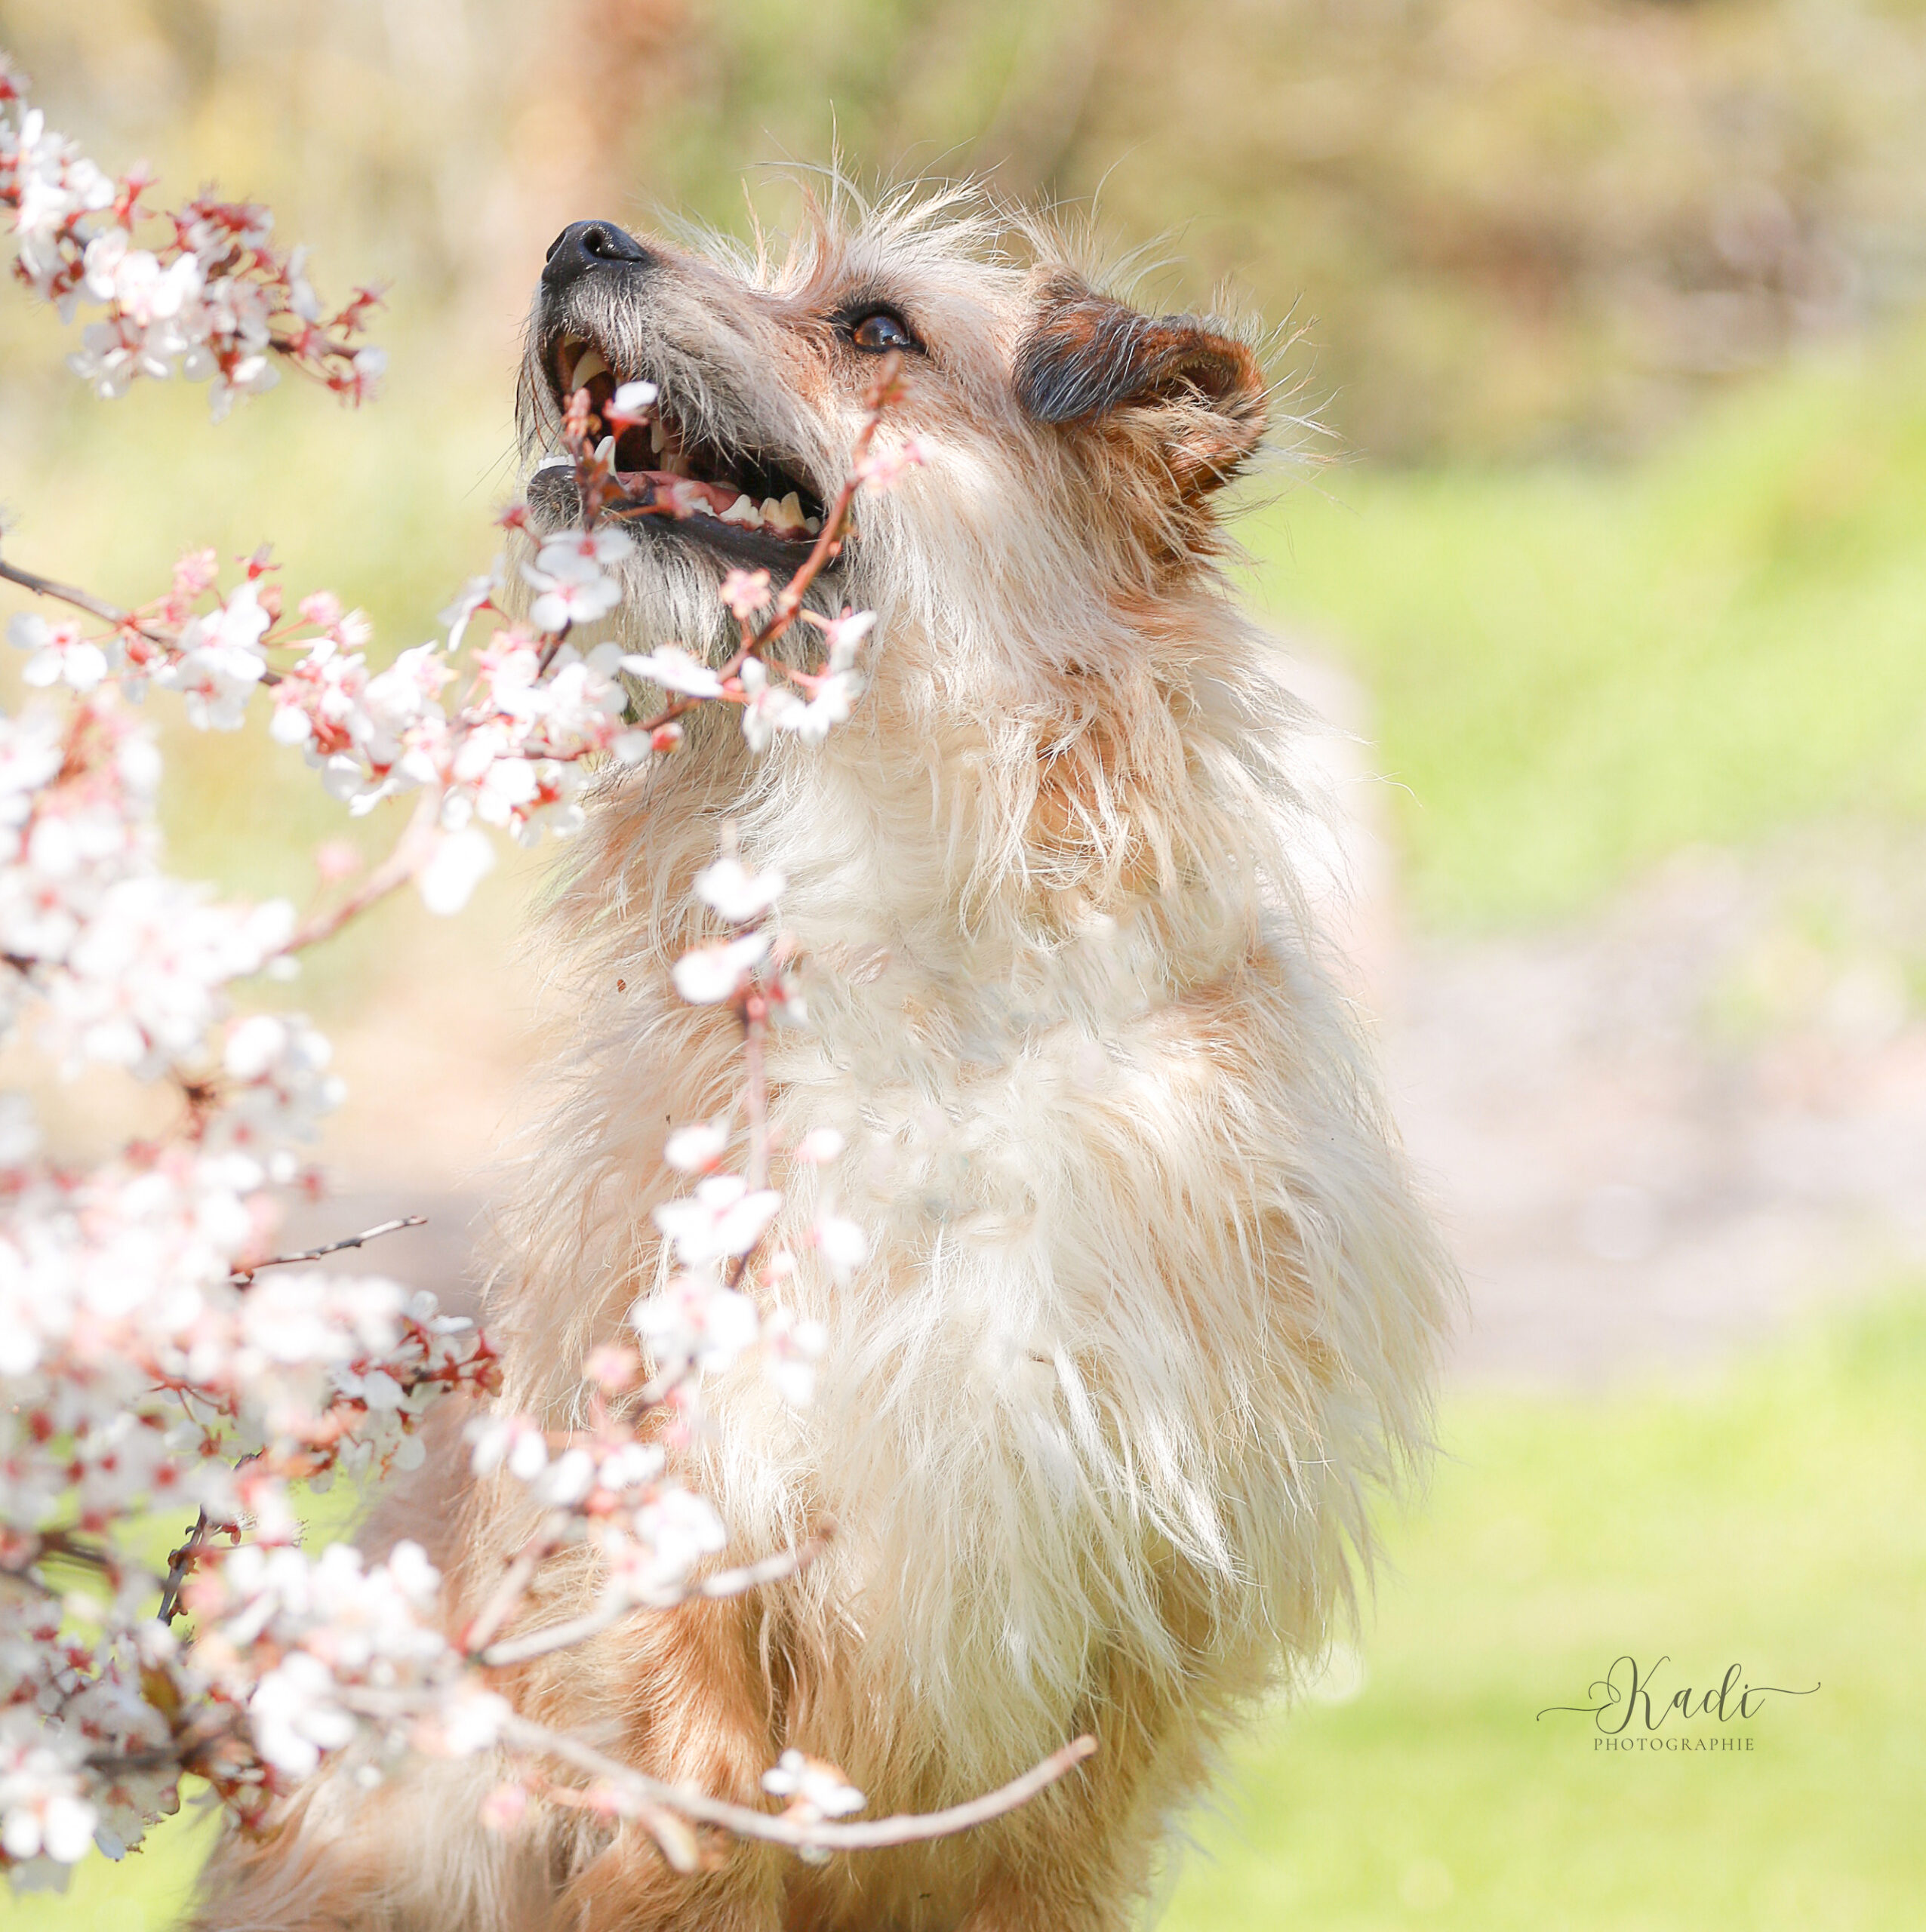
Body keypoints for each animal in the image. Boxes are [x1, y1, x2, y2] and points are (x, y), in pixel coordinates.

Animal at [198, 181, 1460, 1932]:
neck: (916, 990)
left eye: (874, 327)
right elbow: (681, 1838)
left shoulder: (1120, 1638)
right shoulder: (681, 1553)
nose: (581, 240)